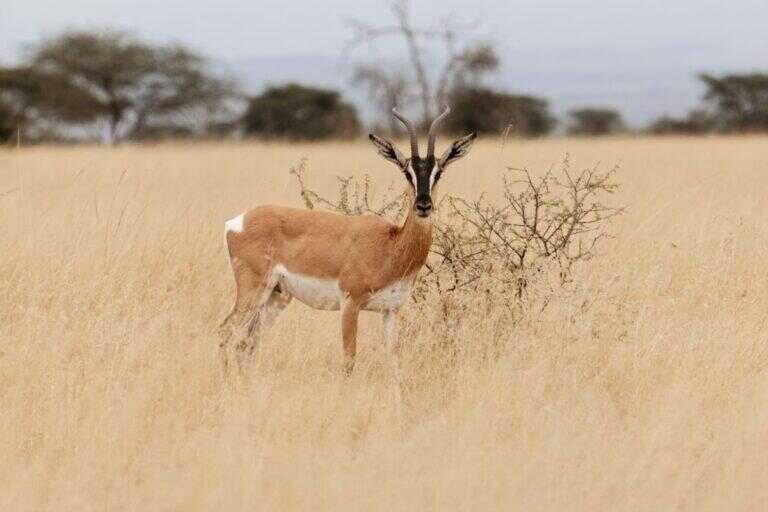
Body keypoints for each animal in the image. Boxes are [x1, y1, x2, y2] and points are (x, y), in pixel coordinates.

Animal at [219, 105, 476, 379]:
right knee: (226, 330)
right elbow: (349, 360)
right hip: (253, 291)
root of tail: (237, 222)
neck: (390, 246)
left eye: (439, 172)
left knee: (248, 341)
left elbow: (394, 361)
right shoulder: (350, 305)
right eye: (408, 172)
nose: (424, 205)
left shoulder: (390, 311)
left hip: (276, 297)